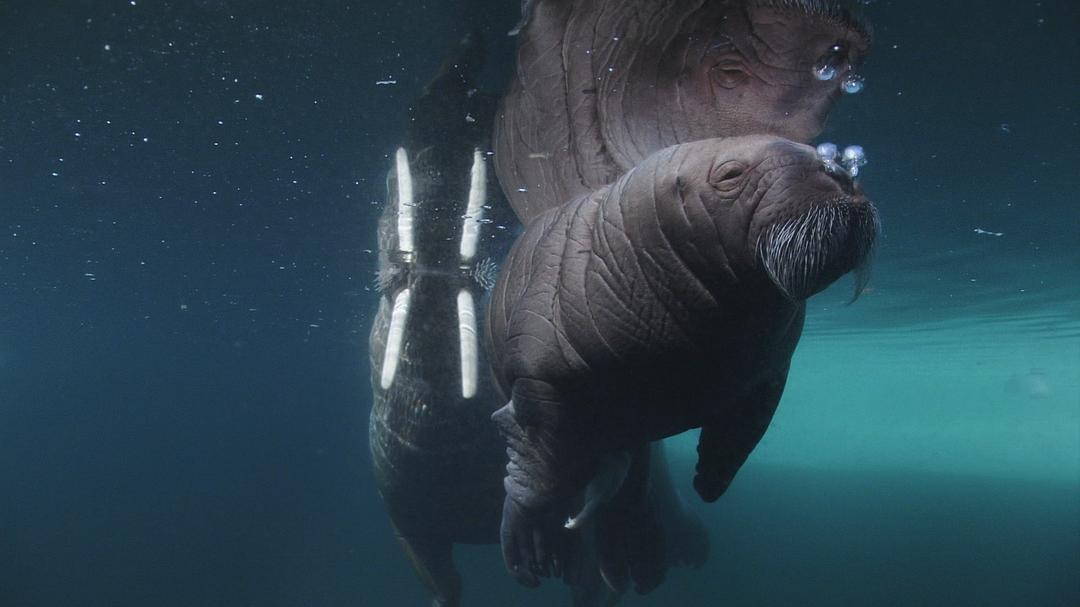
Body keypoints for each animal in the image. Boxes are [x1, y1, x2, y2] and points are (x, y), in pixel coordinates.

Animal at [488, 136, 876, 583]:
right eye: (730, 174)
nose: (840, 170)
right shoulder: (537, 372)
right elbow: (535, 467)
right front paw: (529, 548)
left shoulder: (770, 369)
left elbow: (745, 429)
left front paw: (709, 481)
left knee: (620, 469)